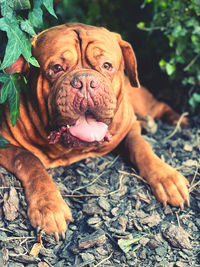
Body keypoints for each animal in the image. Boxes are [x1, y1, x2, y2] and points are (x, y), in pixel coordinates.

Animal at [0, 23, 189, 241]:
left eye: (106, 66)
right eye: (56, 68)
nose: (85, 82)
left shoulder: (129, 126)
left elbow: (141, 147)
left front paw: (167, 178)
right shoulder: (4, 141)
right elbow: (28, 160)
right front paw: (49, 206)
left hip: (141, 99)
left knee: (159, 106)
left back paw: (179, 121)